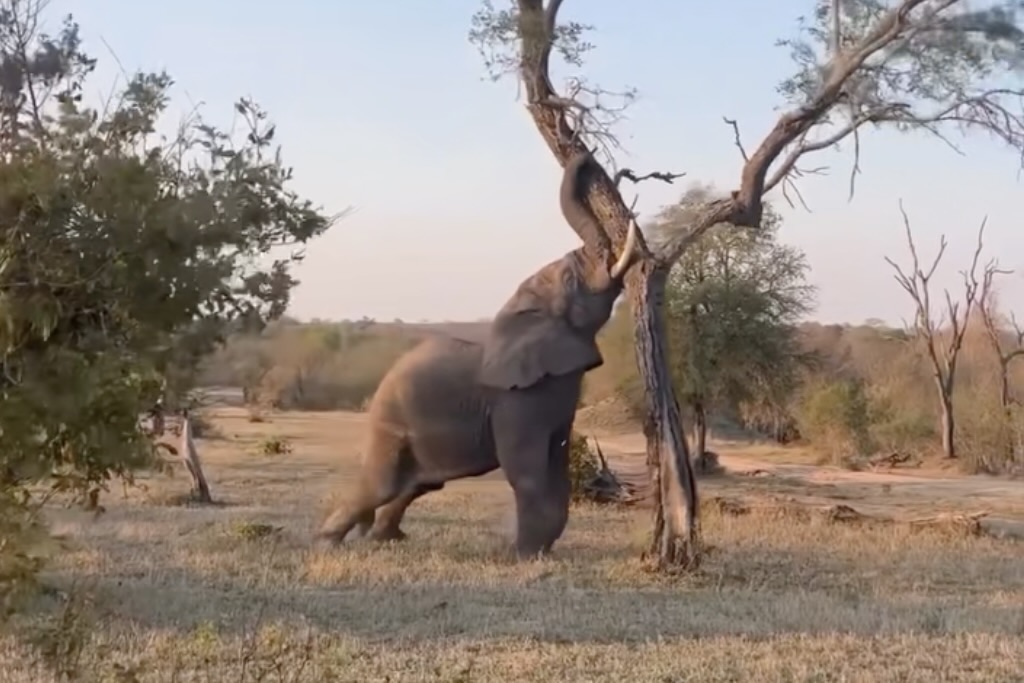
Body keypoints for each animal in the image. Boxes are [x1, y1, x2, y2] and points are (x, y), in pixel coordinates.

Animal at [316, 150, 640, 558]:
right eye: (569, 280)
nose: (586, 154)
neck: (526, 313)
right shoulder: (516, 400)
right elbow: (527, 469)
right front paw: (524, 556)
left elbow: (558, 463)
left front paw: (538, 551)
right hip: (389, 419)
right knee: (381, 484)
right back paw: (326, 542)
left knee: (417, 484)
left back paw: (386, 538)